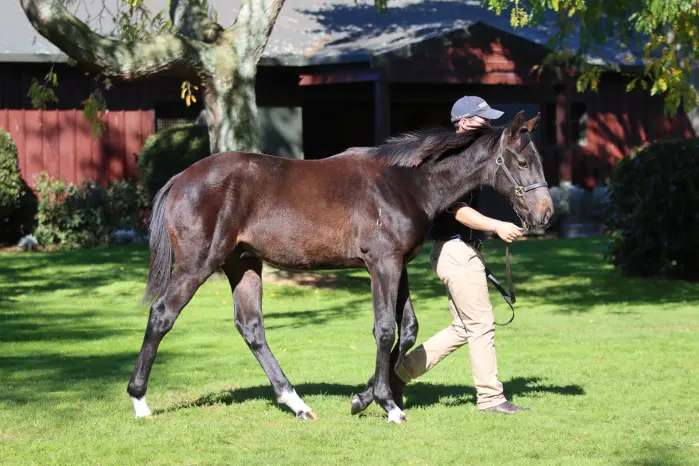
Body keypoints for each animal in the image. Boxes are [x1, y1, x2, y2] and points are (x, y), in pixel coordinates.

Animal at [127, 110, 553, 424]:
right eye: (521, 161)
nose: (545, 215)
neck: (405, 183)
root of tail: (181, 178)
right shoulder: (382, 264)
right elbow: (385, 330)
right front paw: (387, 404)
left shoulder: (399, 264)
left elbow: (409, 330)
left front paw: (365, 397)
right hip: (199, 264)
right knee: (162, 315)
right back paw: (140, 401)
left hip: (243, 264)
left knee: (251, 327)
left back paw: (296, 403)